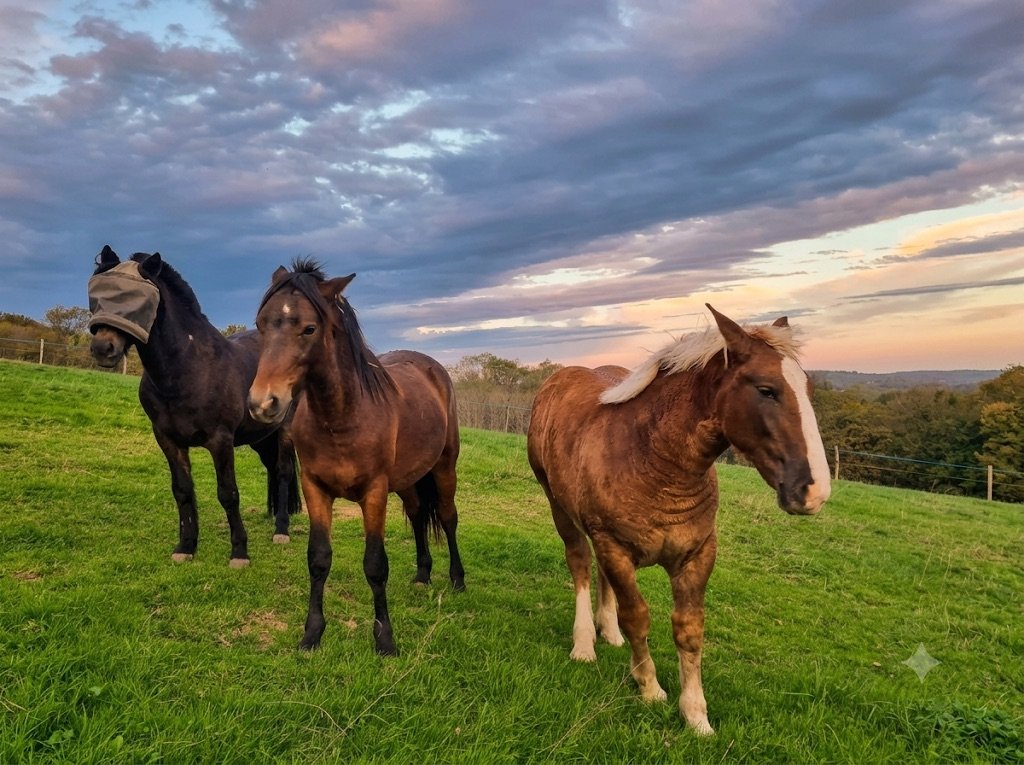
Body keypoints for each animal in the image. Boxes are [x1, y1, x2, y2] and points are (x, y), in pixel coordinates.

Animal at [88, 245, 300, 567]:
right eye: (98, 294)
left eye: (136, 302)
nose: (103, 348)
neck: (188, 369)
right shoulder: (168, 440)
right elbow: (183, 491)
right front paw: (185, 546)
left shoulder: (220, 440)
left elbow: (228, 493)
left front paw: (239, 552)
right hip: (261, 438)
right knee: (273, 470)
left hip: (285, 430)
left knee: (285, 473)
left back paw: (281, 531)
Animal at [247, 259, 465, 655]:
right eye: (261, 324)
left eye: (309, 328)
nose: (263, 403)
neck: (343, 417)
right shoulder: (316, 489)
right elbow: (318, 559)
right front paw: (312, 634)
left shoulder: (374, 493)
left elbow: (376, 565)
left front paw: (385, 640)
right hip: (408, 480)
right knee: (417, 515)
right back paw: (422, 575)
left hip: (444, 467)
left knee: (447, 516)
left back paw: (457, 580)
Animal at [527, 305, 831, 735]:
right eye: (766, 389)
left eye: (808, 389)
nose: (813, 490)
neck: (654, 458)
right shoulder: (614, 545)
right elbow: (638, 616)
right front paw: (650, 688)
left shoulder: (697, 555)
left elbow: (688, 630)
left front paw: (696, 716)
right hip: (559, 507)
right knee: (581, 563)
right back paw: (585, 643)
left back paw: (609, 632)